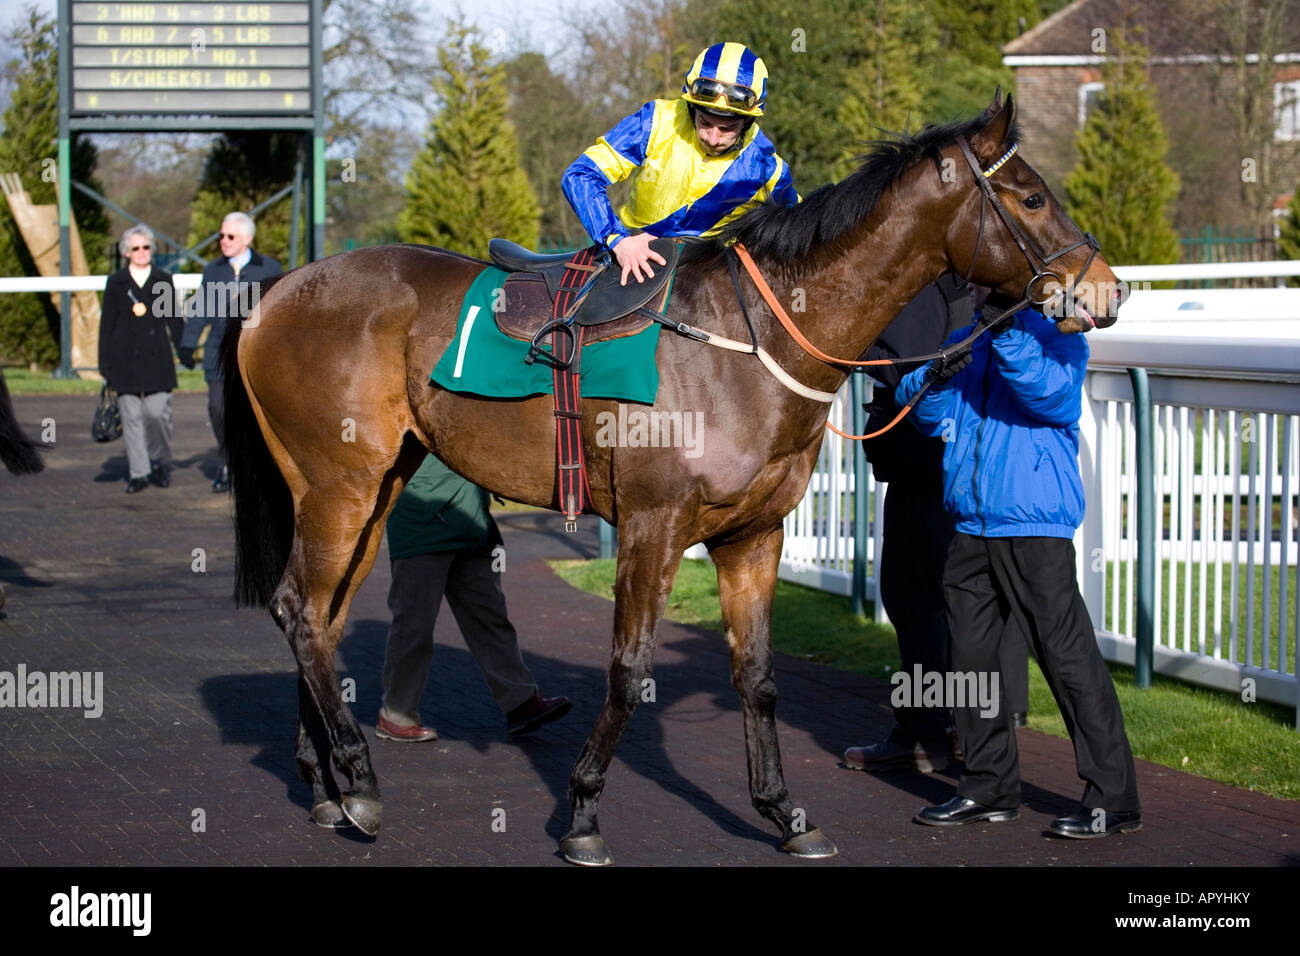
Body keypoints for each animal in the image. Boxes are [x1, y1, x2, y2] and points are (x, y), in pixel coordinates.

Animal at [220, 93, 1124, 865]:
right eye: (1032, 198)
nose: (1105, 288)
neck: (748, 343)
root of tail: (281, 288)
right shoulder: (652, 524)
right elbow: (629, 668)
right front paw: (583, 814)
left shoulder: (752, 536)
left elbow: (758, 678)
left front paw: (784, 815)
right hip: (341, 485)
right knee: (298, 608)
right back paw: (361, 783)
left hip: (368, 489)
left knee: (323, 620)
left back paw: (327, 785)